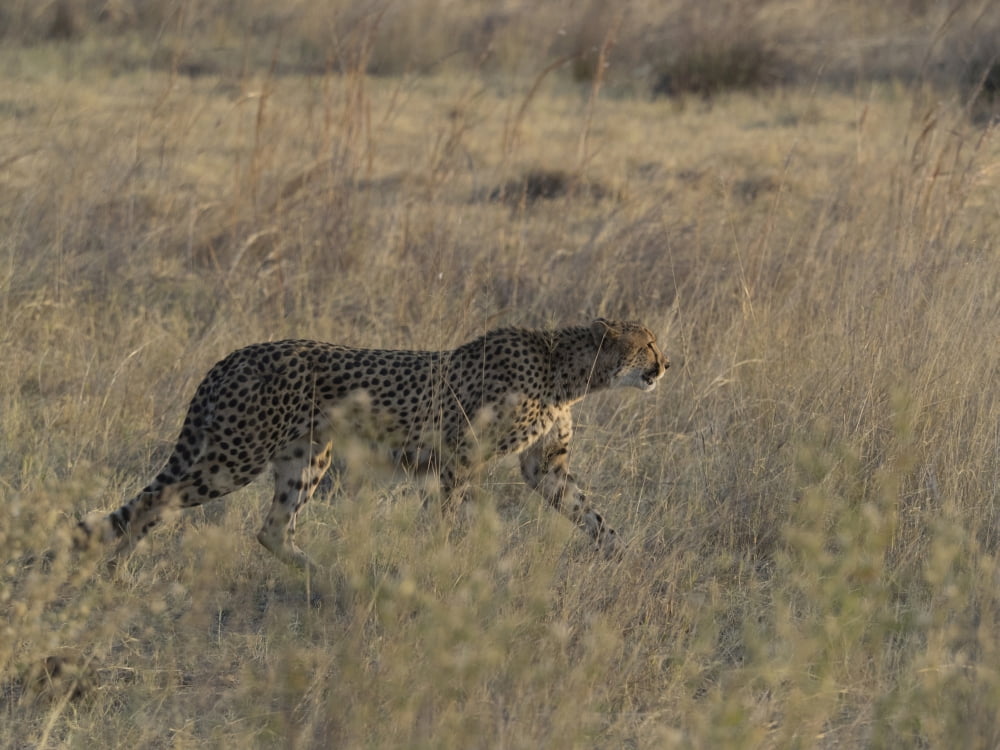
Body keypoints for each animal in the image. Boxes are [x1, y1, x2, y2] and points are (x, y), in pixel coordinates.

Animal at [74, 318, 668, 570]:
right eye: (647, 345)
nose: (666, 365)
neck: (566, 371)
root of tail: (236, 354)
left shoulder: (545, 467)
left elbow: (589, 512)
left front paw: (625, 555)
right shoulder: (459, 459)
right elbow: (451, 517)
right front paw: (443, 564)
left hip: (305, 457)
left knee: (271, 530)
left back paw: (328, 575)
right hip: (235, 455)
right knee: (156, 500)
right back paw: (115, 566)